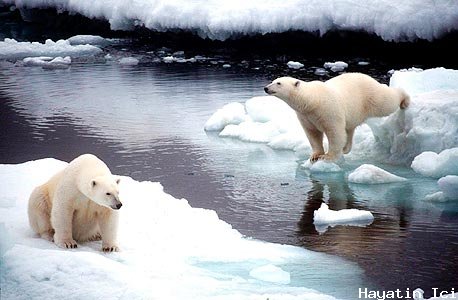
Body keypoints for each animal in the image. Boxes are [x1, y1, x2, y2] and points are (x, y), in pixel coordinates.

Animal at [262, 73, 410, 162]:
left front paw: (328, 156)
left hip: (370, 97)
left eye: (279, 83)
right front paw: (315, 155)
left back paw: (404, 100)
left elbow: (334, 132)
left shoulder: (328, 110)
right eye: (273, 81)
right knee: (349, 129)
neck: (312, 100)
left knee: (386, 102)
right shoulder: (305, 115)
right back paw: (346, 148)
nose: (266, 88)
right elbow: (312, 133)